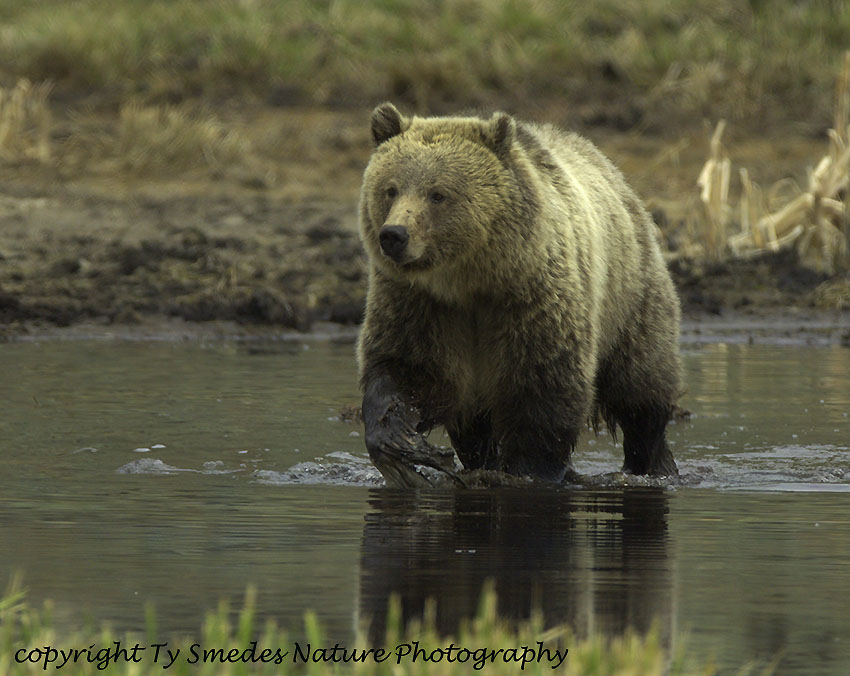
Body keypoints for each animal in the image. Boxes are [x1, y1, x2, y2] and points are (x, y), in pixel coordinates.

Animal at [356, 102, 681, 488]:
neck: (469, 282)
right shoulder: (419, 303)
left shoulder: (531, 298)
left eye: (438, 194)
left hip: (630, 297)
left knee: (641, 391)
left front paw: (528, 471)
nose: (394, 234)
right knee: (473, 425)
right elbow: (405, 368)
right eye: (390, 189)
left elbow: (543, 385)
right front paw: (402, 446)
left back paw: (651, 463)